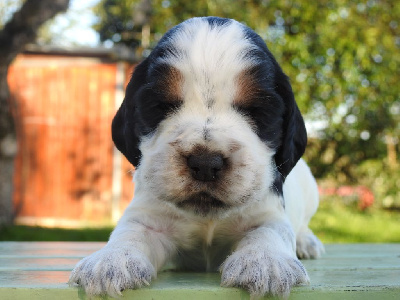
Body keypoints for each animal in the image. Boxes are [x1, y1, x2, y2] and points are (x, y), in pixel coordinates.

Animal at [69, 16, 324, 298]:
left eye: (258, 110)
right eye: (160, 106)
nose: (205, 164)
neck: (207, 217)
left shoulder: (268, 212)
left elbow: (269, 231)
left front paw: (265, 262)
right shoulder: (150, 216)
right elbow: (131, 231)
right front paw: (111, 260)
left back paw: (307, 242)